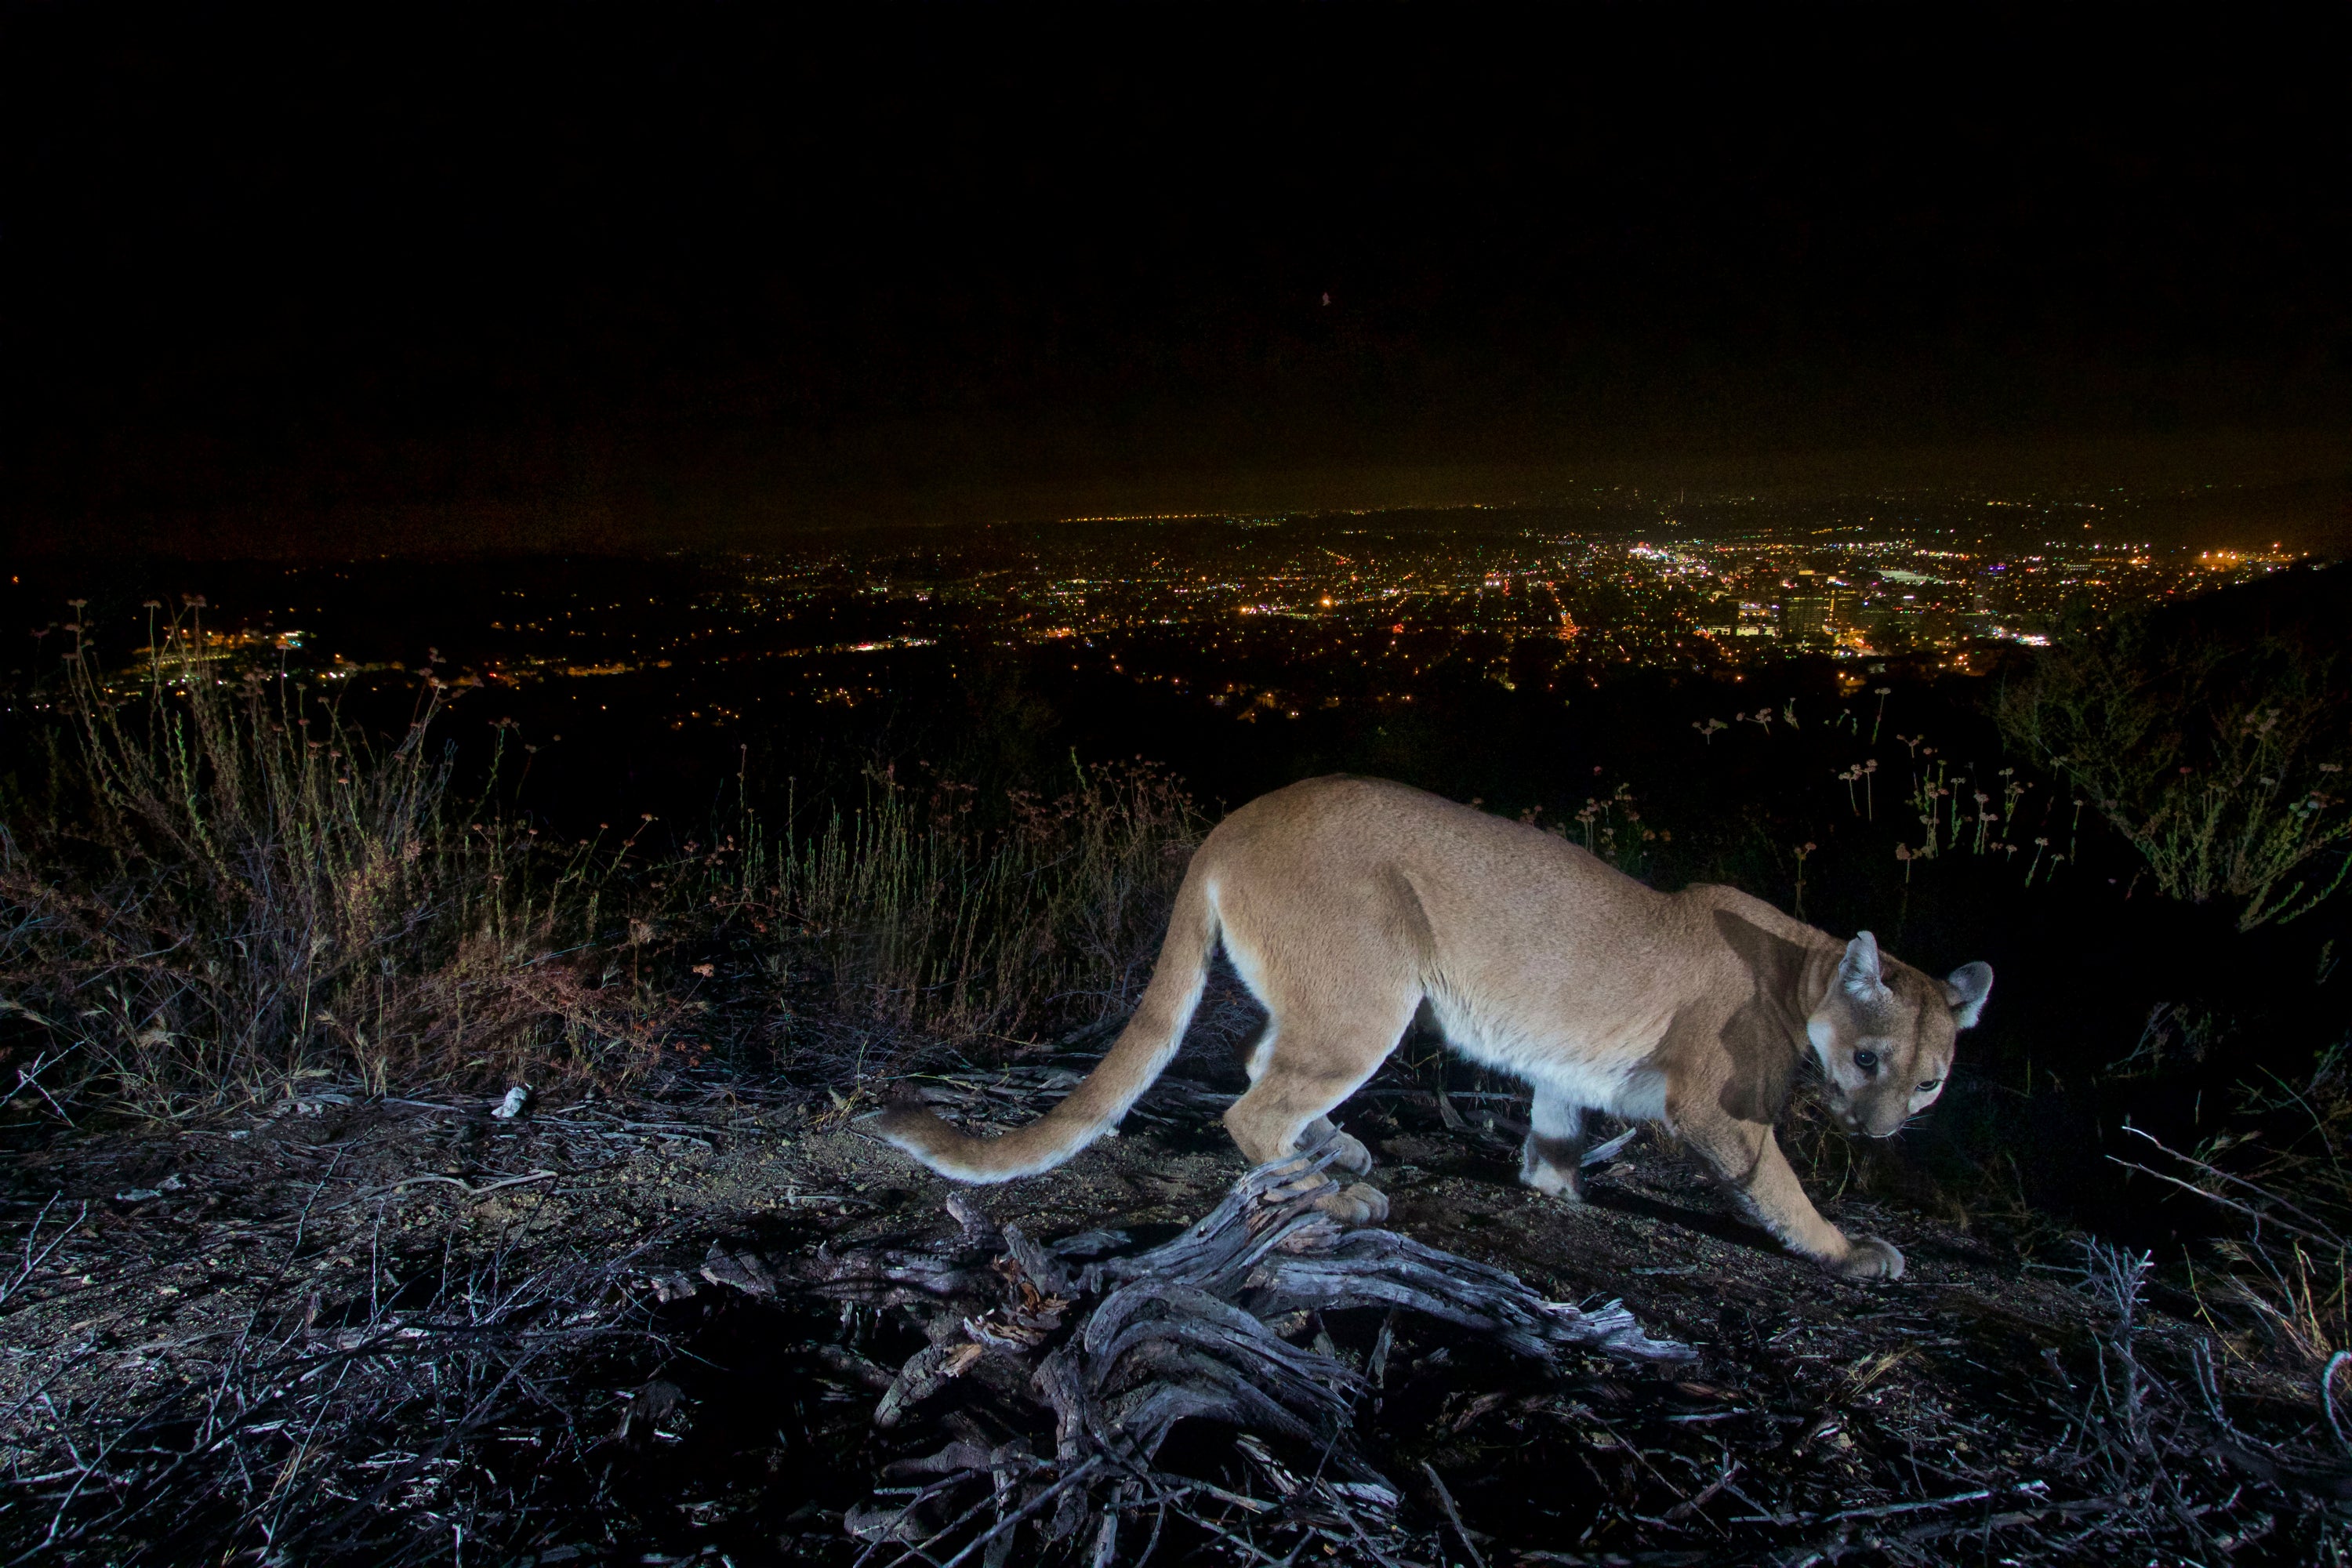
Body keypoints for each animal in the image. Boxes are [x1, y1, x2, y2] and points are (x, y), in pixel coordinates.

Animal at [874, 775, 1991, 1279]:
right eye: (1870, 1057)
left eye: (1930, 1079)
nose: (1884, 1128)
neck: (1802, 966)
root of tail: (1236, 818)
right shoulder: (1718, 1107)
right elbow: (1778, 1183)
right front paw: (1849, 1249)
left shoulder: (1566, 1066)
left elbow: (1554, 1127)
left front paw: (1554, 1188)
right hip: (1375, 992)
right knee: (1253, 1104)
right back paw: (1339, 1189)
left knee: (1260, 1061)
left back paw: (1338, 1148)